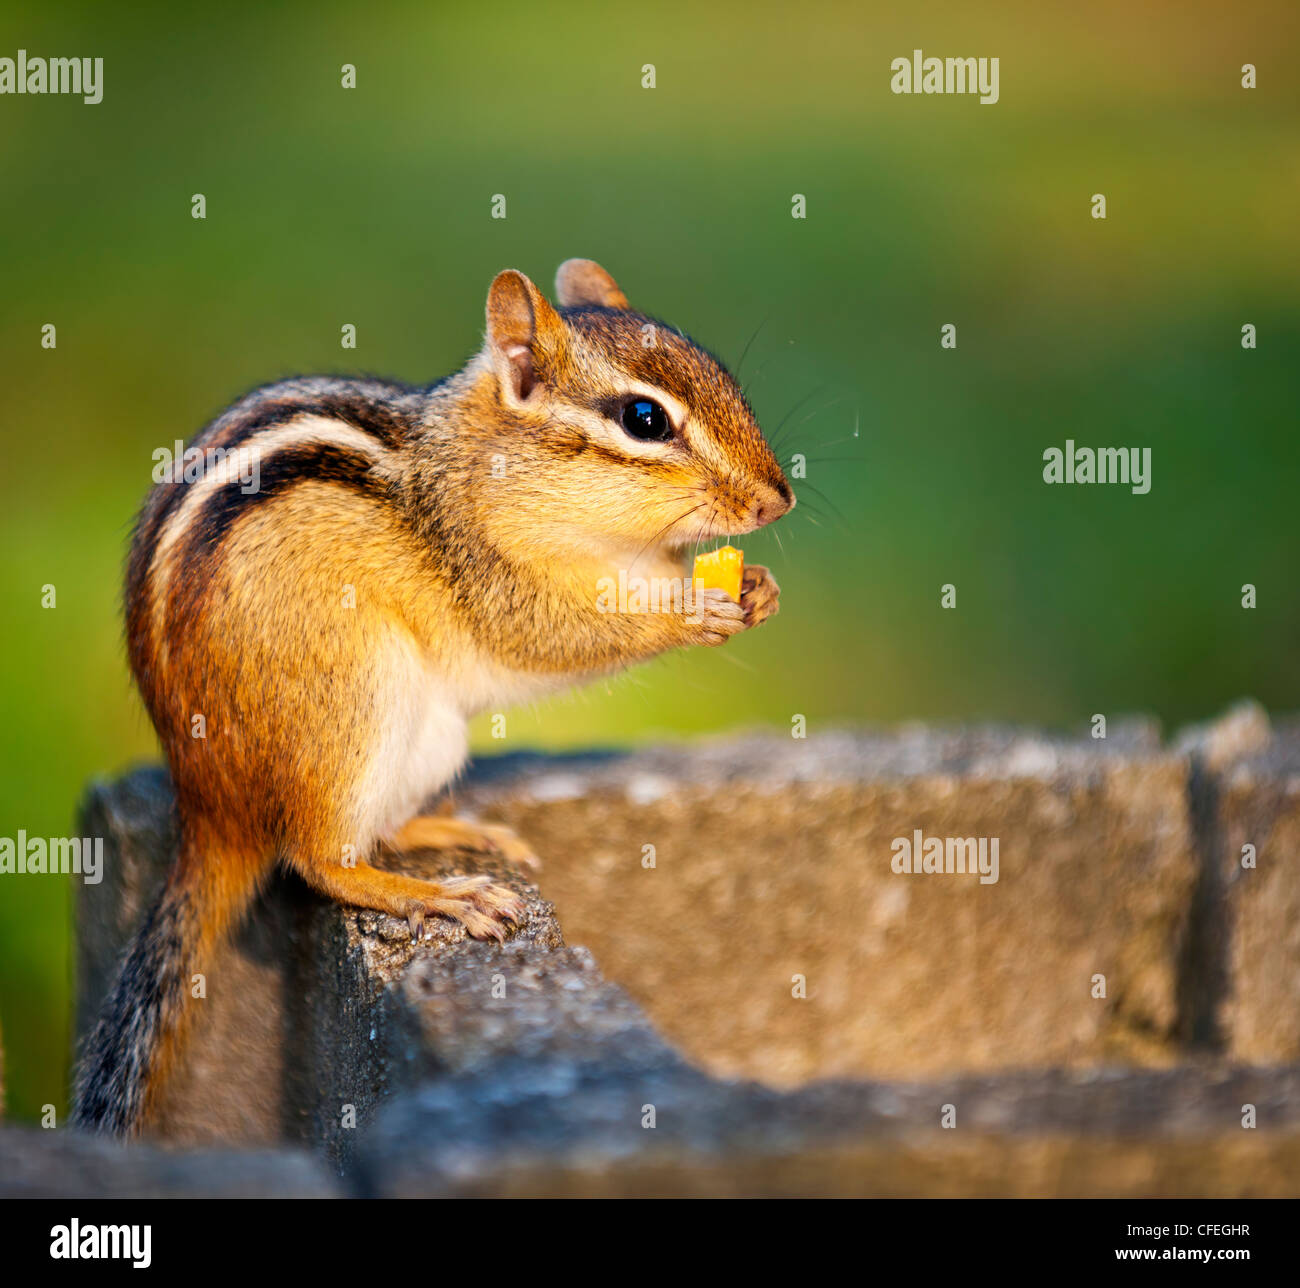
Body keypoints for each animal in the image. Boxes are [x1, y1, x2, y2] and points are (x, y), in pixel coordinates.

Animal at [72, 258, 794, 1137]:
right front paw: (692, 612)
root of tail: (207, 810)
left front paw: (757, 590)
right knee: (320, 860)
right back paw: (443, 897)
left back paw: (452, 832)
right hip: (352, 710)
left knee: (377, 829)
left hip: (428, 737)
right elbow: (552, 635)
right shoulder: (487, 573)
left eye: (726, 380)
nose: (779, 499)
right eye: (644, 418)